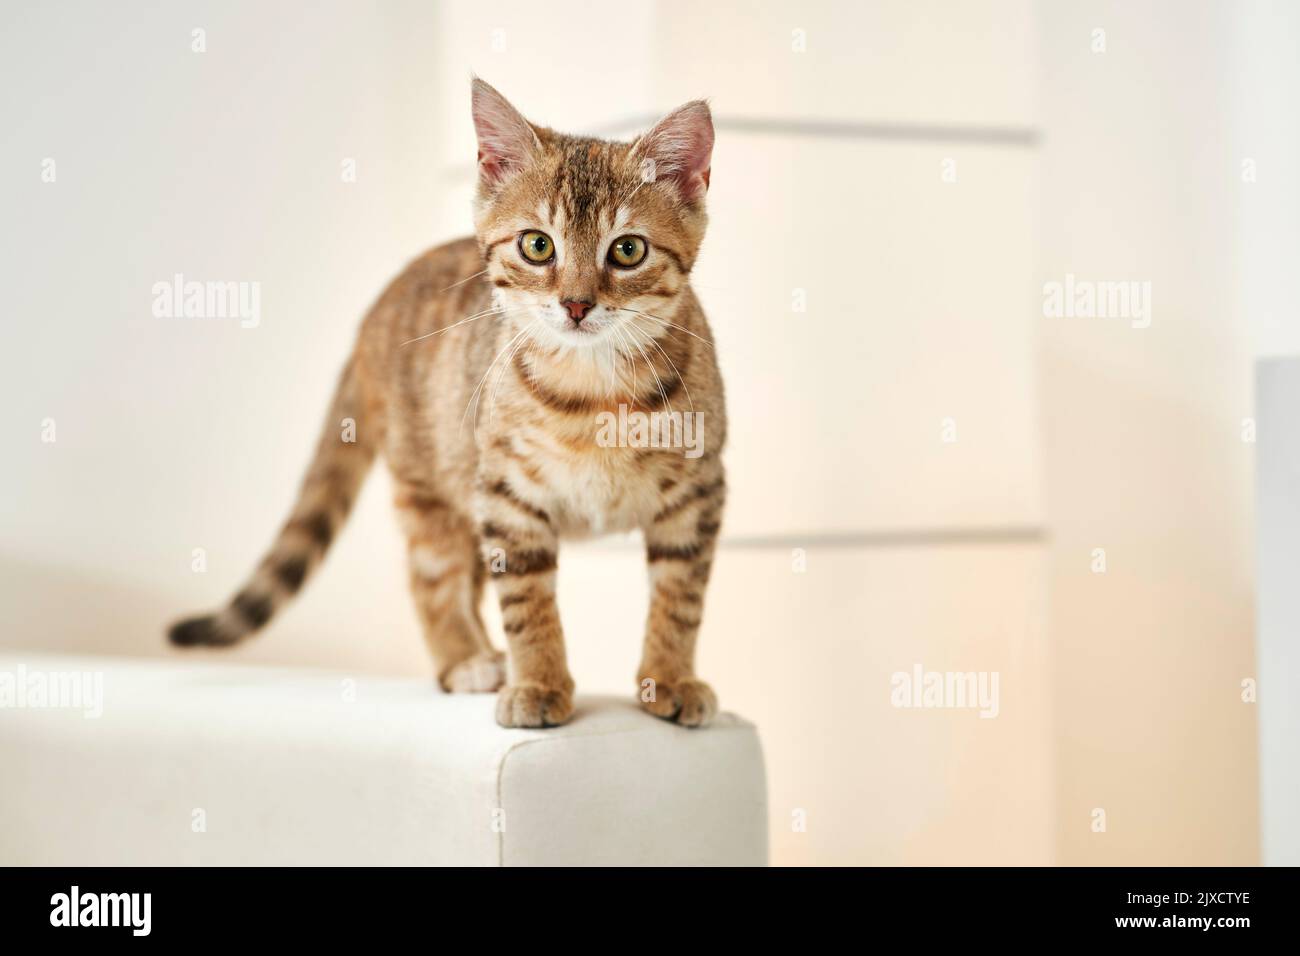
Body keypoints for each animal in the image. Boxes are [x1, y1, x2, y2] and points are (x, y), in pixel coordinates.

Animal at [167, 82, 728, 728]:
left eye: (628, 250)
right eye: (538, 246)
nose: (576, 304)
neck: (593, 392)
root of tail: (375, 309)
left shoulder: (698, 491)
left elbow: (681, 596)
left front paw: (669, 678)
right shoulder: (507, 492)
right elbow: (527, 603)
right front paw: (539, 683)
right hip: (429, 482)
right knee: (432, 576)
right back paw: (465, 660)